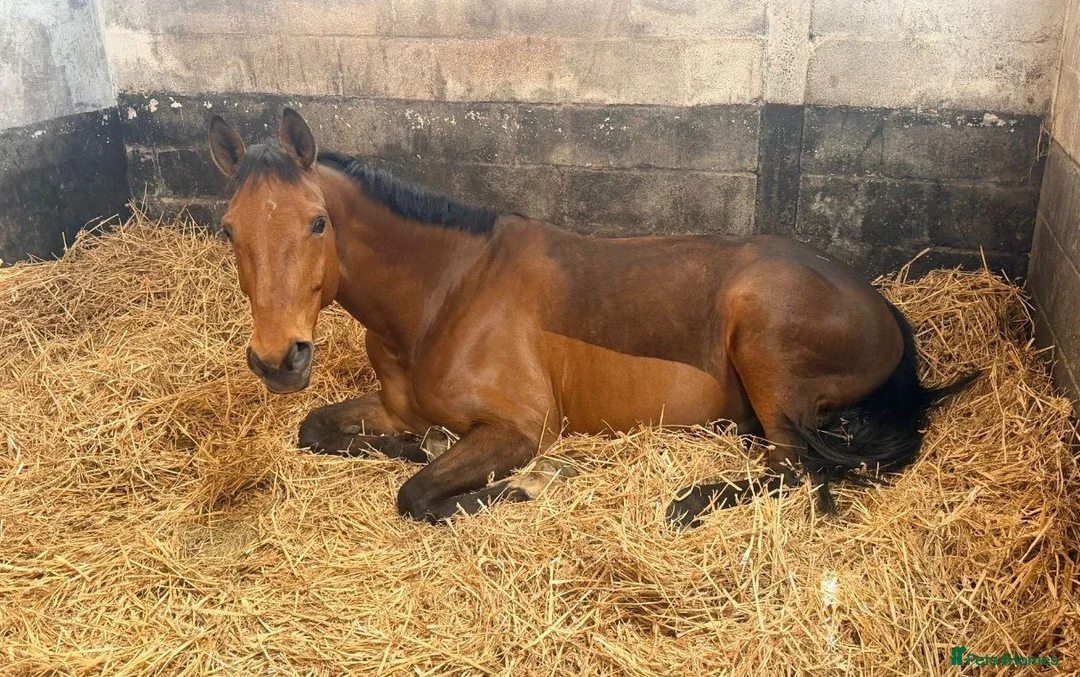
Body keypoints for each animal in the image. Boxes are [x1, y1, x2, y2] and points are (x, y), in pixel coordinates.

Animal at [207, 108, 977, 527]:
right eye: (229, 228)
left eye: (317, 222)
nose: (278, 358)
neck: (445, 295)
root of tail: (884, 309)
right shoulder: (394, 406)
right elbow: (320, 432)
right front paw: (415, 445)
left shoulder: (519, 428)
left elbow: (418, 494)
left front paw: (530, 482)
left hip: (763, 342)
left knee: (800, 468)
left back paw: (689, 501)